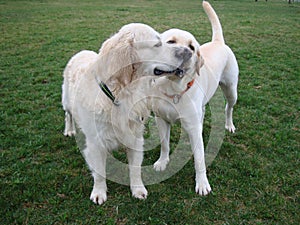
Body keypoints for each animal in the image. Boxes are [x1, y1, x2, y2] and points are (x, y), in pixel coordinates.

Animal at [62, 23, 192, 206]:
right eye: (157, 44)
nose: (187, 52)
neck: (122, 94)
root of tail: (81, 52)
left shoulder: (135, 139)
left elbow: (135, 169)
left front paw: (138, 189)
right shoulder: (95, 143)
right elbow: (99, 172)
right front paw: (99, 192)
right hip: (66, 101)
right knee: (68, 115)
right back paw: (69, 130)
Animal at [151, 0, 238, 195]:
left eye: (192, 47)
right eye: (171, 41)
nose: (186, 52)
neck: (173, 88)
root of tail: (218, 41)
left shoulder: (192, 128)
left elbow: (199, 158)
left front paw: (202, 183)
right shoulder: (161, 119)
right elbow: (164, 144)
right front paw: (162, 162)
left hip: (231, 90)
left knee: (228, 107)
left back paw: (229, 125)